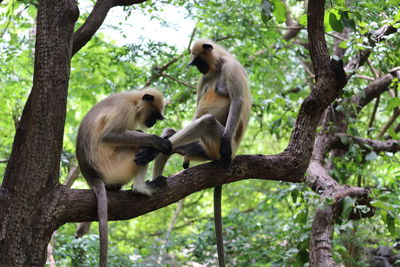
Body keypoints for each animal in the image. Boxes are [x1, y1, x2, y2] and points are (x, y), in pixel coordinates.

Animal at [76, 89, 171, 266]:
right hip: (114, 167)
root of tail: (91, 174)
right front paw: (159, 141)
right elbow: (110, 135)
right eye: (154, 115)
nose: (152, 123)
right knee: (138, 146)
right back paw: (142, 187)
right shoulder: (125, 109)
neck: (133, 100)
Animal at [136, 38, 252, 266]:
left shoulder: (231, 67)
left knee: (207, 121)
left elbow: (237, 101)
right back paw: (157, 173)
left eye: (198, 61)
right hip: (203, 149)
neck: (218, 66)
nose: (196, 67)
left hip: (218, 144)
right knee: (172, 134)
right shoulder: (204, 78)